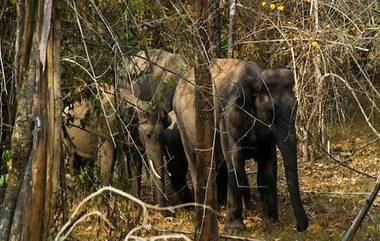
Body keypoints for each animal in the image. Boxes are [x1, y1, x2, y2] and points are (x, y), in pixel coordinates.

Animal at [172, 58, 308, 232]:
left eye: (295, 108)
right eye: (271, 112)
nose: (299, 227)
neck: (255, 78)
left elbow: (268, 166)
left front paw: (272, 222)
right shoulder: (229, 118)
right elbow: (235, 160)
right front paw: (234, 228)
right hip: (182, 124)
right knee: (196, 161)